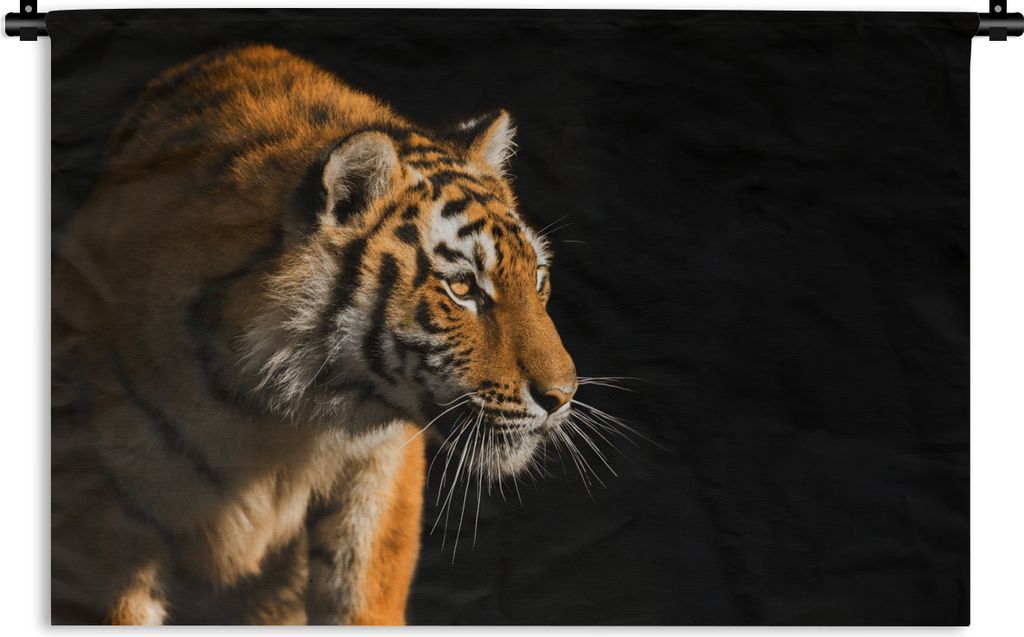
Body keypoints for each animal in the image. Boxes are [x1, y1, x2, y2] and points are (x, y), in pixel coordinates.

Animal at [51, 44, 579, 625]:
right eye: (462, 287)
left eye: (537, 278)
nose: (562, 396)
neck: (273, 413)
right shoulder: (102, 502)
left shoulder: (379, 471)